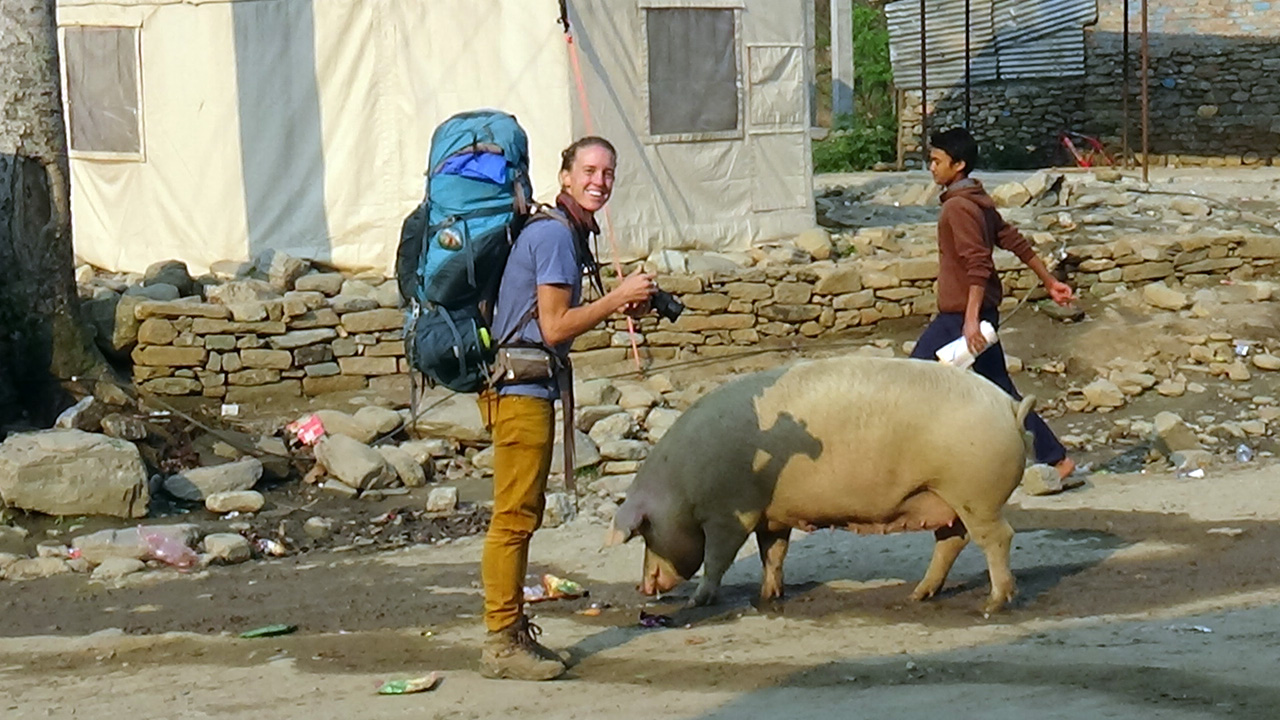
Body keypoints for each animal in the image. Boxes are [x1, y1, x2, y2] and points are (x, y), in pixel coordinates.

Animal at [604, 353, 1034, 609]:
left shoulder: (729, 514)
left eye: (645, 532)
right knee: (952, 540)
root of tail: (1010, 407)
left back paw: (994, 604)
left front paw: (697, 601)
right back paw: (918, 595)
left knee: (997, 538)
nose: (643, 587)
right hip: (945, 494)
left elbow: (717, 558)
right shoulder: (770, 515)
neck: (679, 487)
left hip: (976, 493)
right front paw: (768, 597)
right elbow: (773, 553)